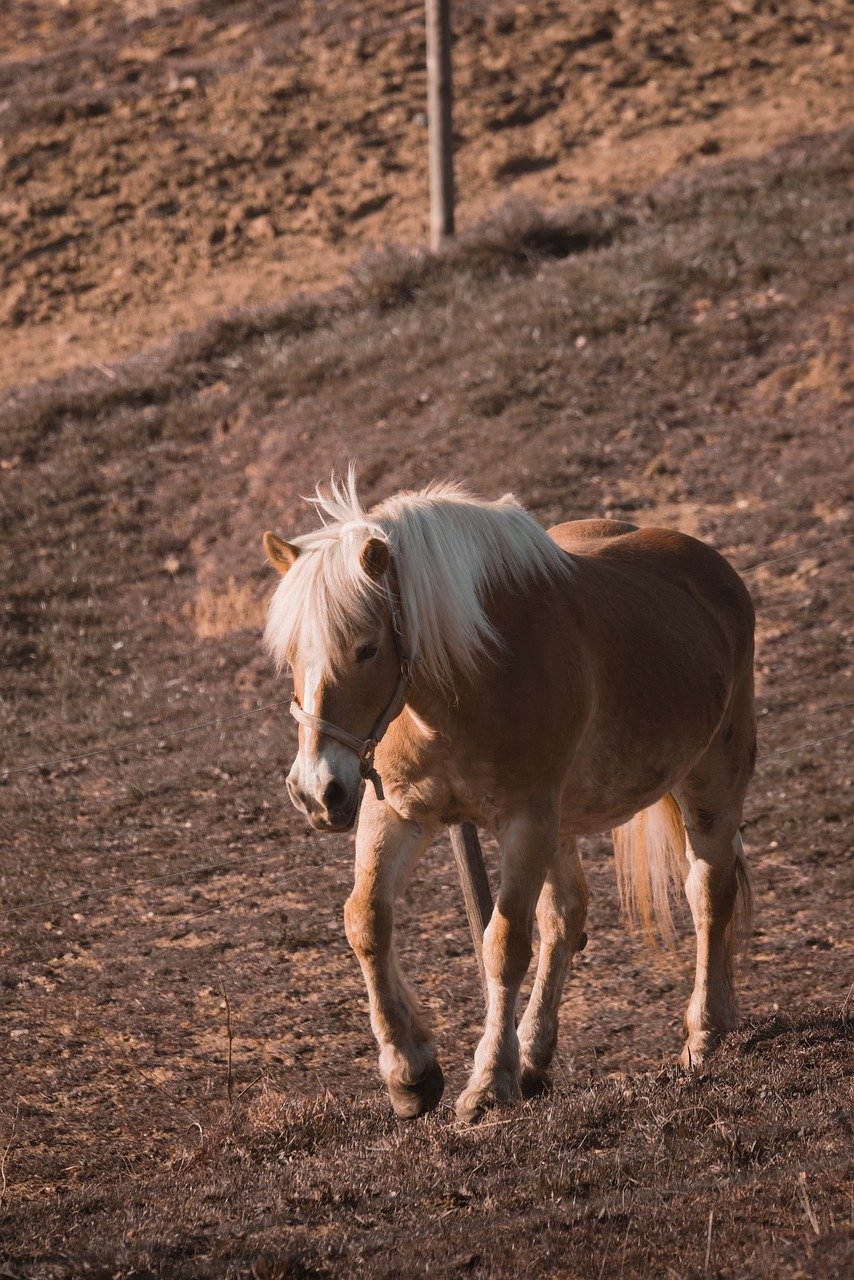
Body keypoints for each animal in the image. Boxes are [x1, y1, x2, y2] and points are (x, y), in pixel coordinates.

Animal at [262, 472, 755, 1123]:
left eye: (366, 648)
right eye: (292, 655)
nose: (317, 791)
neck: (466, 682)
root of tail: (711, 568)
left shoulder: (525, 820)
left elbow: (504, 945)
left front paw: (487, 1083)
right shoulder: (395, 810)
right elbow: (366, 920)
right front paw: (410, 1071)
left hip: (707, 783)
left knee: (708, 893)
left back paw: (706, 1030)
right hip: (565, 822)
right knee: (568, 915)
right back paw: (535, 1056)